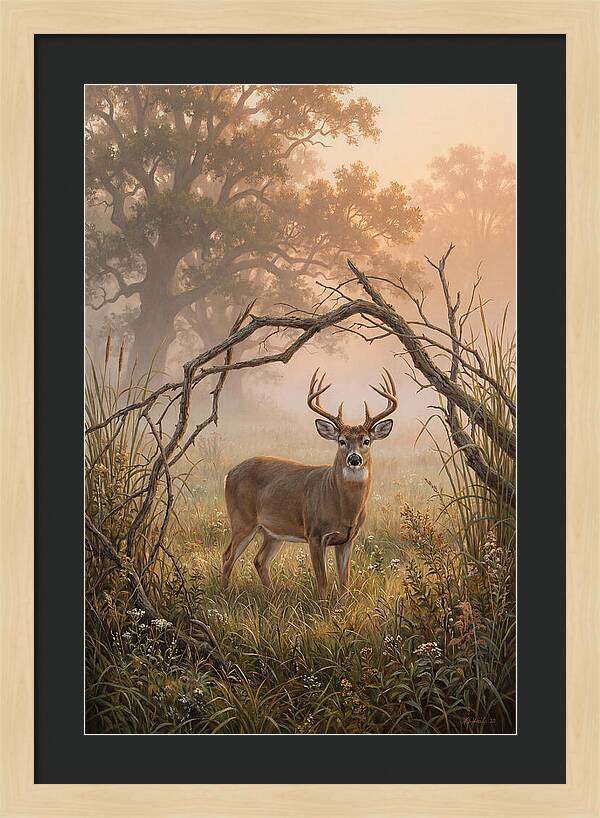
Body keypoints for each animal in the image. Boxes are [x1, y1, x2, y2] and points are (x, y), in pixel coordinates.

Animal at [221, 368, 398, 599]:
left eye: (366, 441)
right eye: (341, 441)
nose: (354, 459)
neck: (343, 507)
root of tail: (229, 474)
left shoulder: (348, 538)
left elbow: (344, 581)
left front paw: (343, 605)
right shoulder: (314, 533)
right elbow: (322, 581)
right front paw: (323, 607)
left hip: (273, 531)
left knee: (260, 560)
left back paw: (272, 597)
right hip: (242, 520)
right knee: (227, 556)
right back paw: (223, 596)